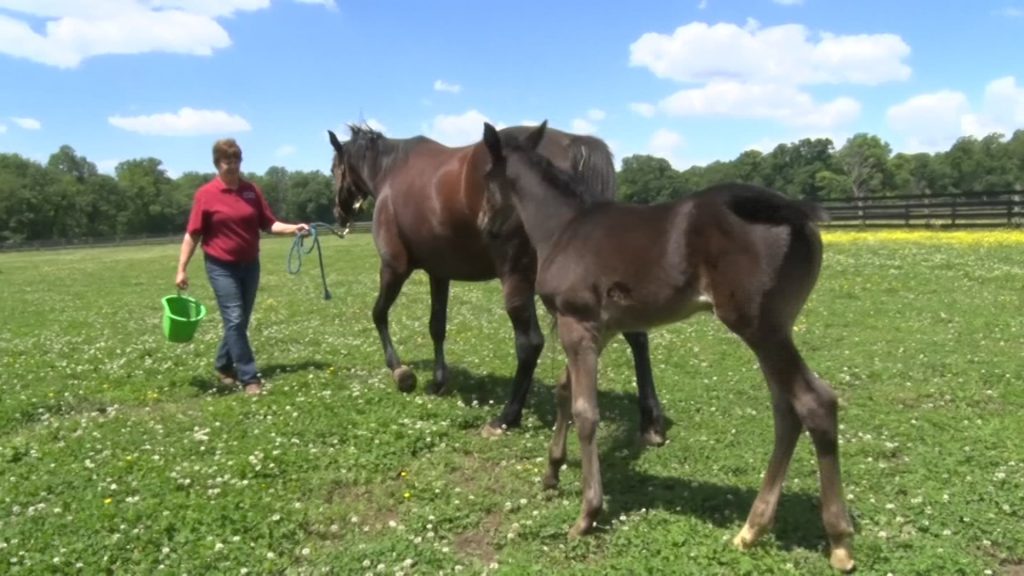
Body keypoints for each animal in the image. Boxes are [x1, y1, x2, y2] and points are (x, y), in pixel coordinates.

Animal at [327, 123, 666, 443]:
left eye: (333, 169)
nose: (339, 214)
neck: (391, 171)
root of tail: (574, 146)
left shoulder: (393, 268)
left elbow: (379, 314)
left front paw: (401, 372)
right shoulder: (439, 273)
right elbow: (437, 326)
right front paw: (438, 381)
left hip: (517, 279)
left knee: (530, 343)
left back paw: (506, 417)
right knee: (637, 335)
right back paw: (651, 422)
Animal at [480, 121, 855, 572]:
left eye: (484, 179)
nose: (483, 224)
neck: (564, 228)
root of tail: (795, 213)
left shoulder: (577, 324)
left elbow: (586, 412)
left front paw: (587, 514)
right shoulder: (597, 329)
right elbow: (563, 392)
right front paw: (552, 473)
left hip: (761, 328)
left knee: (815, 403)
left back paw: (838, 541)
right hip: (775, 329)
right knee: (787, 410)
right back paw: (752, 529)